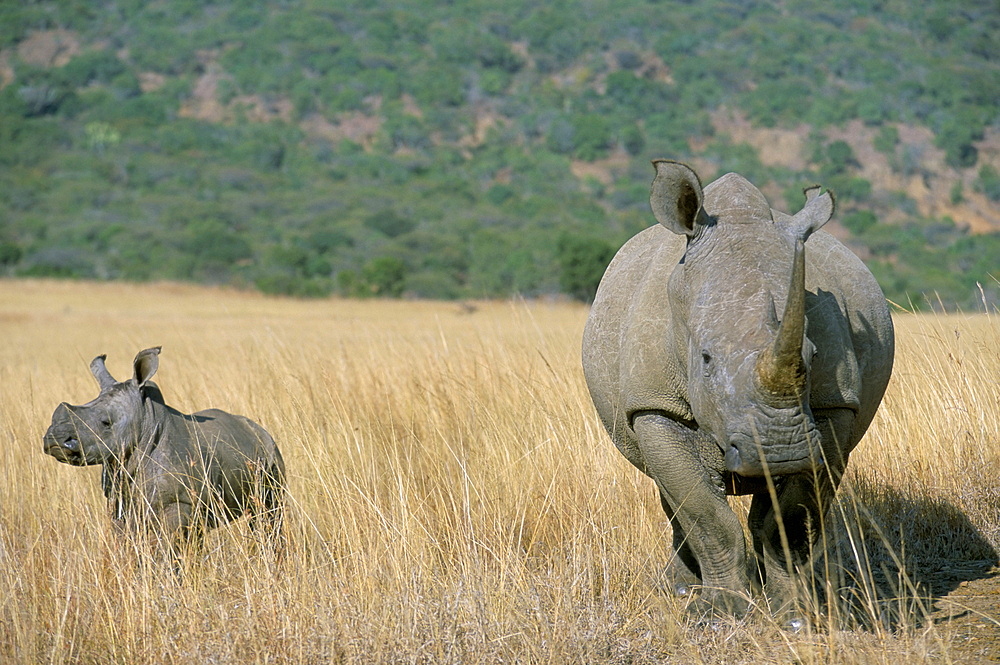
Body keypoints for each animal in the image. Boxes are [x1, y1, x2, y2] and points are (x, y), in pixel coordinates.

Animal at [43, 348, 286, 560]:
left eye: (106, 423)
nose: (56, 439)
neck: (145, 421)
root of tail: (262, 430)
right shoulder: (119, 501)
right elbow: (126, 544)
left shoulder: (179, 503)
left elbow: (169, 551)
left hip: (271, 457)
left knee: (268, 514)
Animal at [584, 161, 896, 624]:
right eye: (706, 358)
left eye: (813, 355)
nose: (779, 452)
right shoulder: (654, 405)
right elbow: (706, 515)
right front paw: (720, 614)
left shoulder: (832, 407)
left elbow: (788, 518)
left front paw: (796, 615)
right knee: (668, 490)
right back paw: (680, 589)